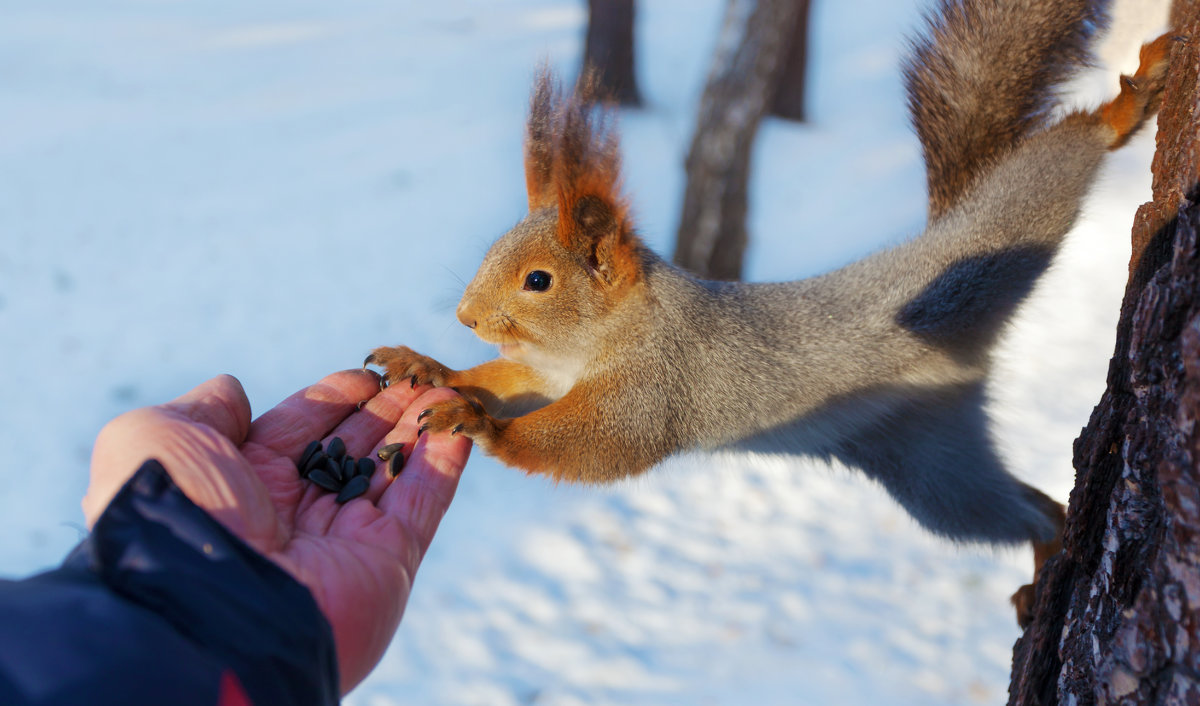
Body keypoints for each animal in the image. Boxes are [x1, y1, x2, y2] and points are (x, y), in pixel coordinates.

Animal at [364, 0, 1171, 629]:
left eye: (539, 280)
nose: (466, 316)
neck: (601, 337)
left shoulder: (655, 384)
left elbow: (602, 443)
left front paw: (482, 426)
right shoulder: (547, 374)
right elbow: (503, 381)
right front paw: (429, 368)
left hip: (991, 252)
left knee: (1053, 170)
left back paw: (1127, 105)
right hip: (932, 469)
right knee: (1021, 507)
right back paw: (1048, 551)